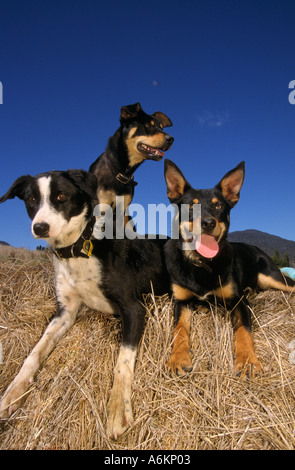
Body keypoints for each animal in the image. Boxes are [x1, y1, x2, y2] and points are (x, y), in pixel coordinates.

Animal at [0, 171, 170, 438]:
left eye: (61, 196)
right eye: (30, 199)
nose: (40, 227)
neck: (77, 248)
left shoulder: (134, 308)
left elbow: (123, 361)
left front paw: (118, 407)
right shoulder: (65, 313)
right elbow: (35, 352)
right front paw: (13, 392)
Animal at [164, 161, 295, 378]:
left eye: (218, 206)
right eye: (191, 206)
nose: (208, 223)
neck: (203, 265)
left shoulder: (239, 301)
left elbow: (243, 330)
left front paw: (248, 361)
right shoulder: (181, 301)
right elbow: (179, 330)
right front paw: (178, 359)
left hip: (274, 277)